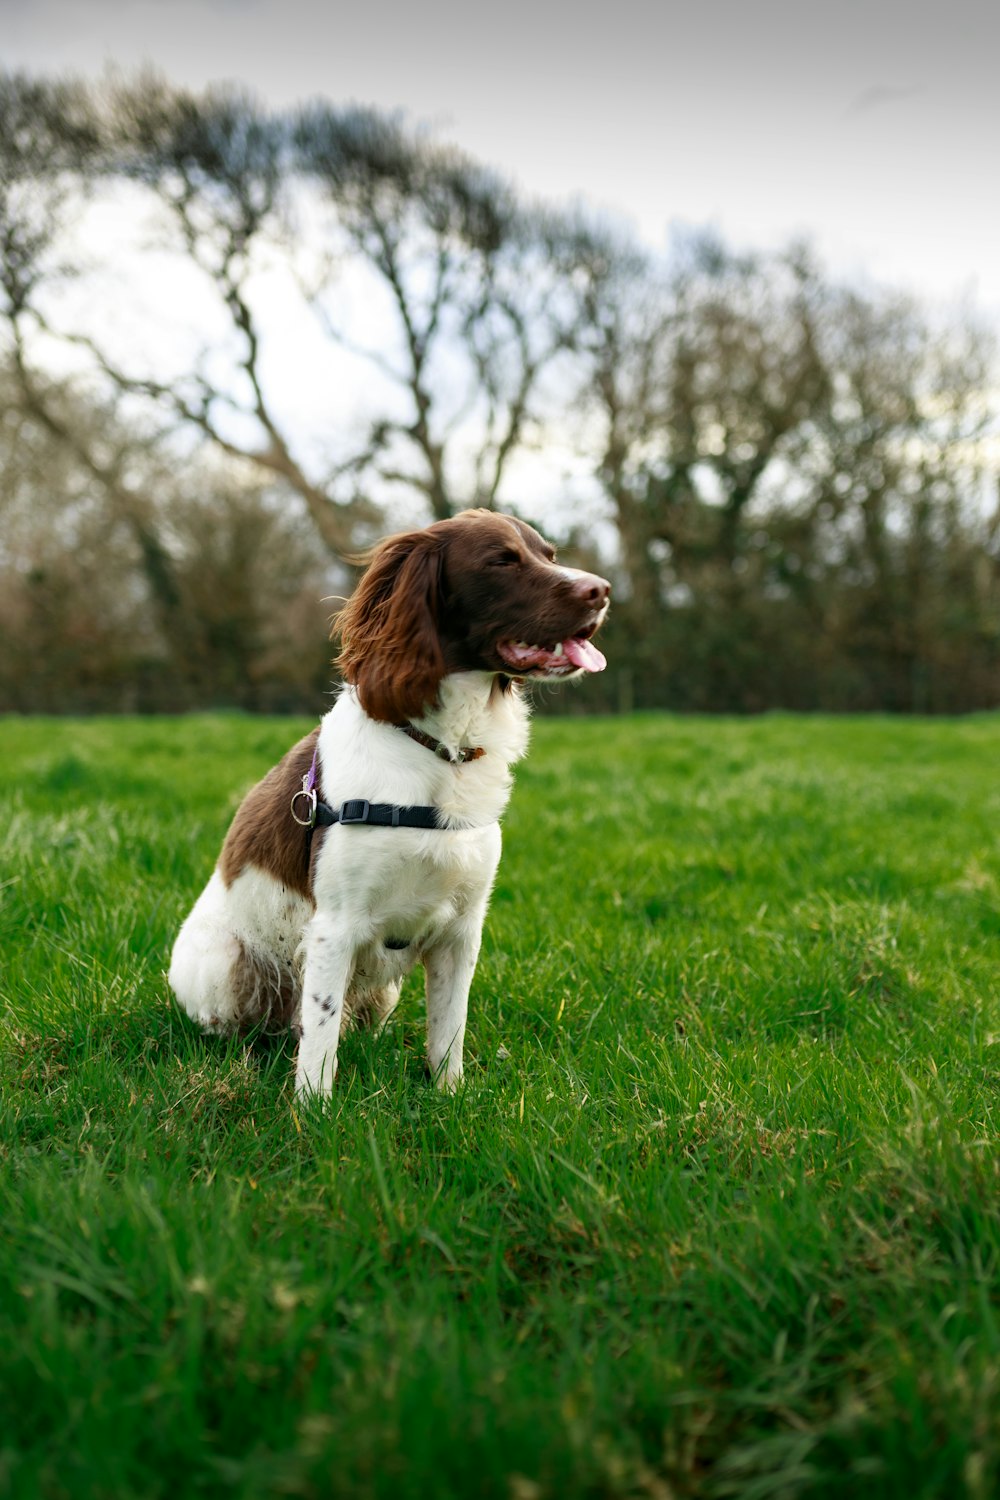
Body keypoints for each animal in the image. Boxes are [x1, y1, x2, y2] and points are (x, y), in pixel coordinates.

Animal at [166, 510, 611, 1098]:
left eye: (550, 555)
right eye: (501, 560)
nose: (602, 590)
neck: (441, 751)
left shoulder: (461, 931)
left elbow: (448, 1031)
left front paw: (449, 1098)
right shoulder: (334, 928)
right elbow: (320, 1041)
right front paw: (312, 1112)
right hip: (225, 966)